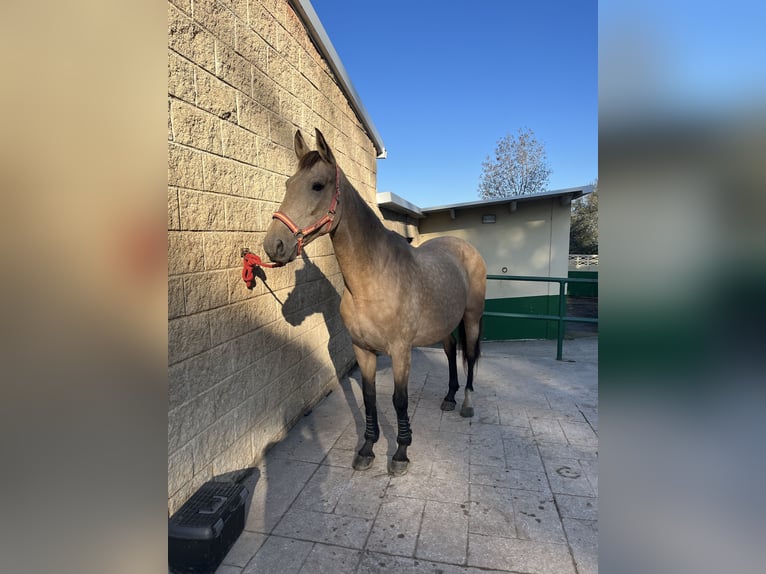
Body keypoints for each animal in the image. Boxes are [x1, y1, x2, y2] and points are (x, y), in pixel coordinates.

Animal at [264, 130, 488, 476]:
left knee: (471, 355)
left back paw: (466, 403)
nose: (274, 245)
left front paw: (401, 454)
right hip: (445, 324)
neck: (372, 281)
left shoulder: (400, 352)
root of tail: (465, 247)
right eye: (288, 184)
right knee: (452, 353)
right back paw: (449, 397)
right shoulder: (363, 350)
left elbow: (399, 400)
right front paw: (367, 449)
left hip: (472, 317)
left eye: (317, 185)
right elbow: (369, 398)